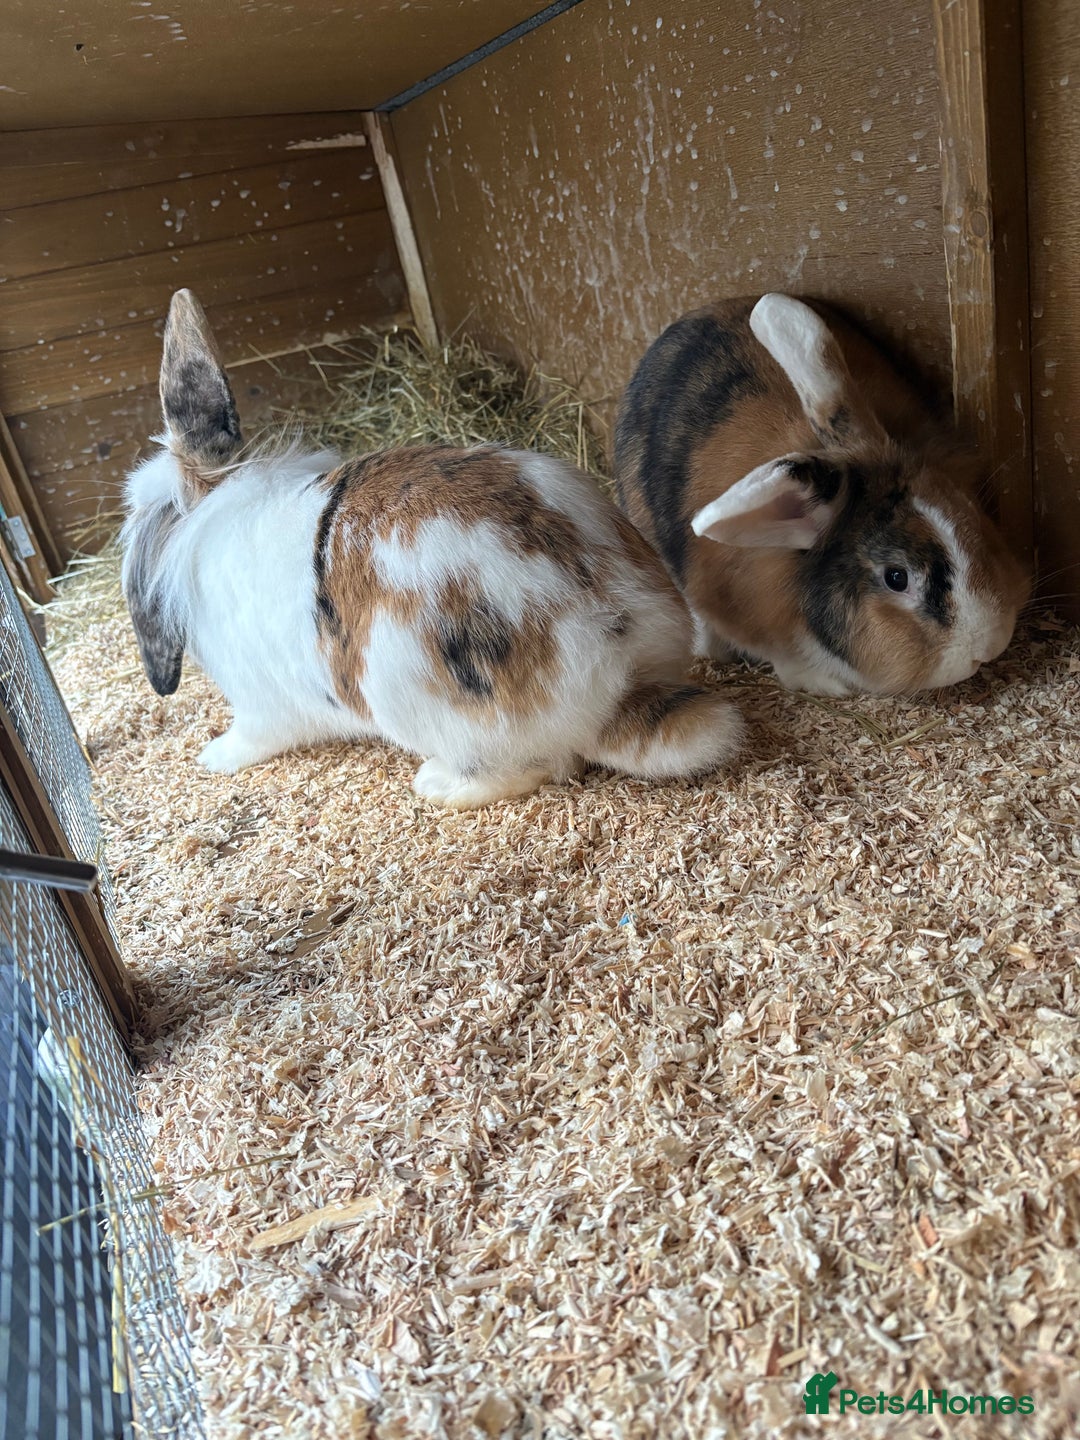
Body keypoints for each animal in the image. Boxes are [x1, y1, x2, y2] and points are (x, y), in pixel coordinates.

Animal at [120, 290, 743, 809]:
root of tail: (623, 676)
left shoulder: (258, 708)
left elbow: (250, 736)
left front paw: (213, 757)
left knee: (536, 767)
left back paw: (436, 784)